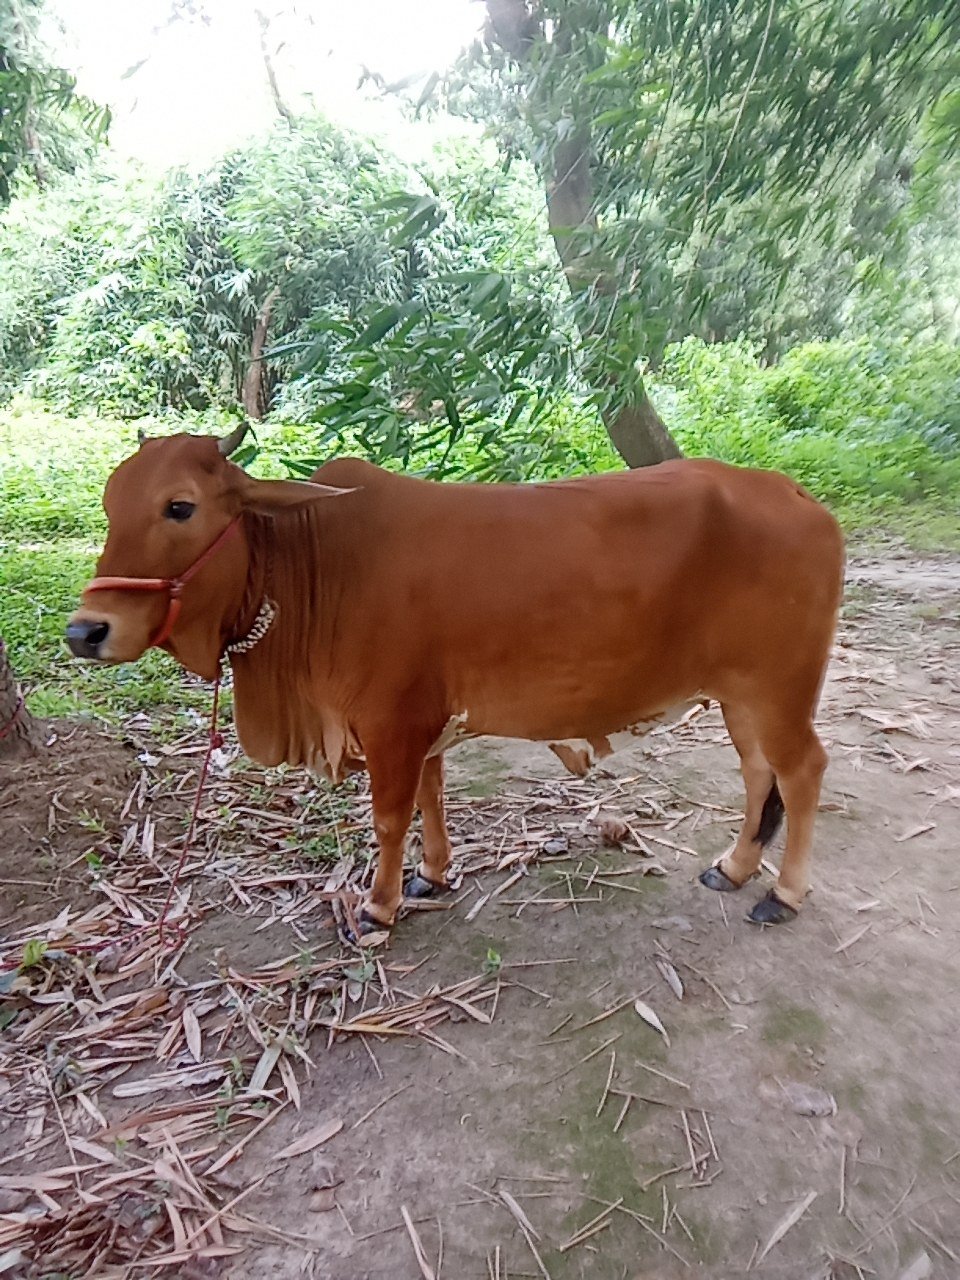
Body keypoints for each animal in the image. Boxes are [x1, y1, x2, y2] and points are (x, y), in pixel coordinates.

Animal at [67, 425, 844, 933]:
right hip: (741, 696)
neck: (318, 563)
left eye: (180, 506)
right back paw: (735, 867)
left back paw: (784, 895)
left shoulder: (390, 724)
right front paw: (432, 875)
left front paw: (377, 908)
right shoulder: (422, 724)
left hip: (781, 689)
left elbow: (388, 817)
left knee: (802, 770)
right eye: (107, 505)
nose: (85, 631)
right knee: (759, 775)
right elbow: (430, 801)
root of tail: (797, 494)